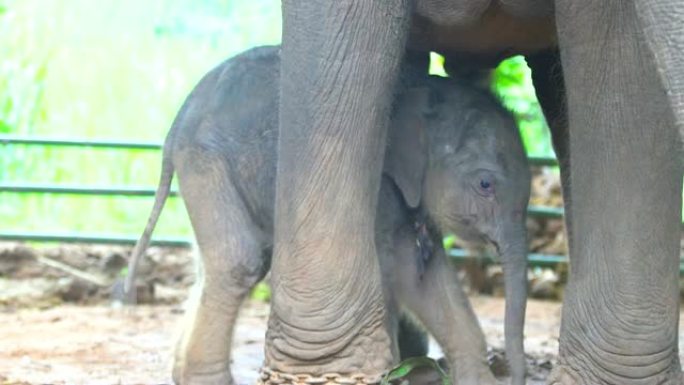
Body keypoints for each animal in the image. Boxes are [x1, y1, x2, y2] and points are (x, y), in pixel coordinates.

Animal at [128, 45, 532, 384]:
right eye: (485, 184)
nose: (514, 374)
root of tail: (176, 124)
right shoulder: (378, 187)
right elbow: (395, 271)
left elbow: (426, 277)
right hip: (207, 162)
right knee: (239, 263)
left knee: (213, 264)